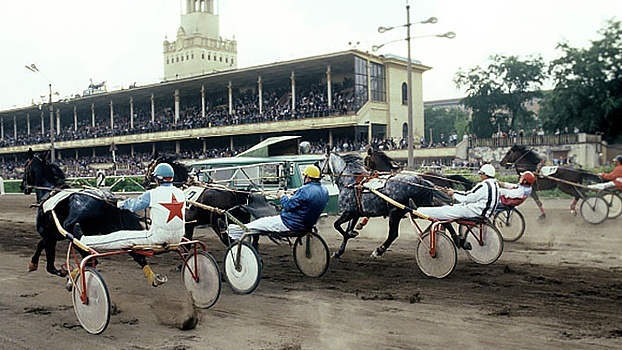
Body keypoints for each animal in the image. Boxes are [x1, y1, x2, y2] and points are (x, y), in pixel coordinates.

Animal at [21, 149, 149, 278]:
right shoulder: (54, 235)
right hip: (116, 230)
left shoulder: (49, 235)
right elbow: (40, 244)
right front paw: (32, 264)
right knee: (138, 257)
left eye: (25, 166)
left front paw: (63, 271)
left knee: (91, 260)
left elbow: (50, 267)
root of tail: (106, 200)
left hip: (74, 231)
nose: (22, 186)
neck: (49, 192)